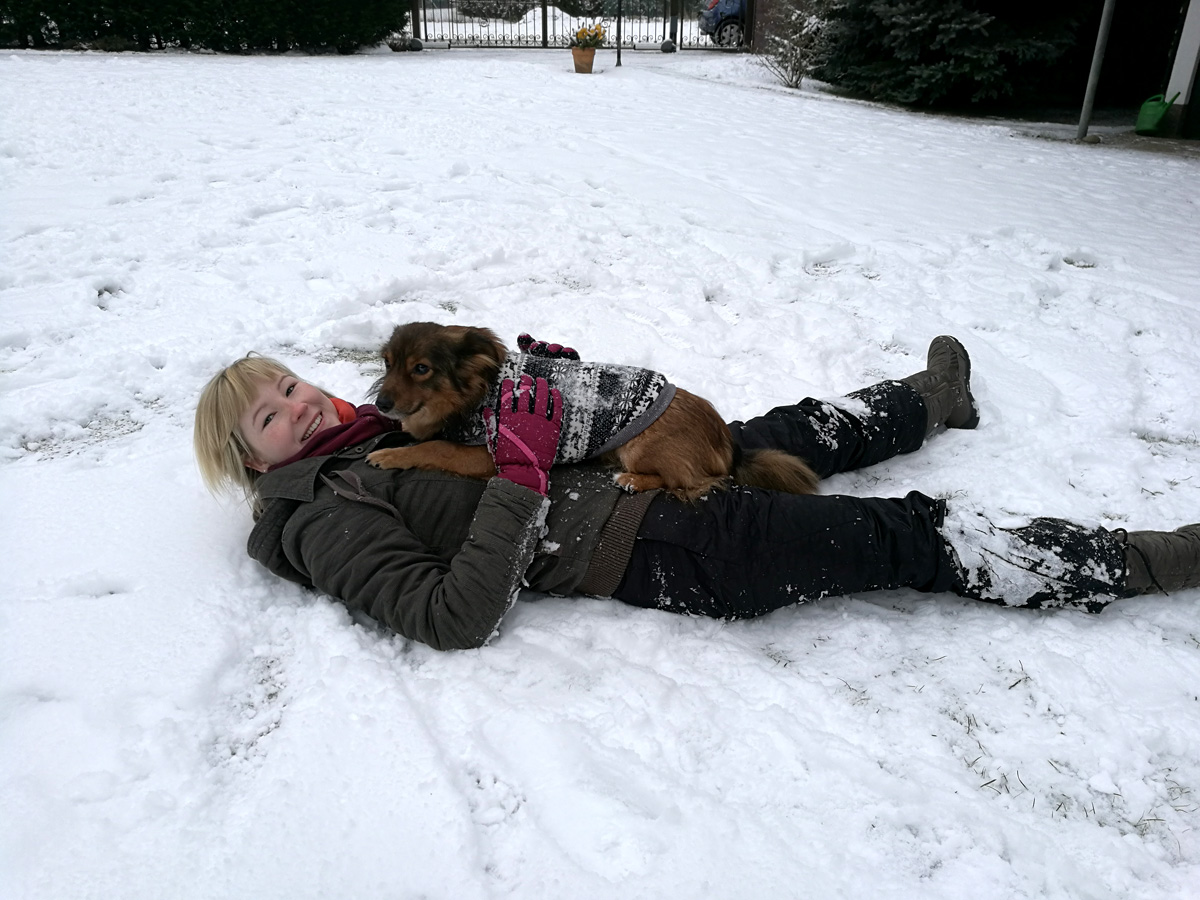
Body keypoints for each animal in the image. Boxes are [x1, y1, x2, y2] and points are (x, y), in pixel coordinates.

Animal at [367, 321, 816, 504]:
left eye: (421, 369)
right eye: (387, 363)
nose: (381, 404)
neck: (475, 392)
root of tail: (727, 442)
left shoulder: (485, 454)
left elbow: (435, 448)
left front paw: (388, 455)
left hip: (643, 446)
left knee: (693, 482)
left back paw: (632, 479)